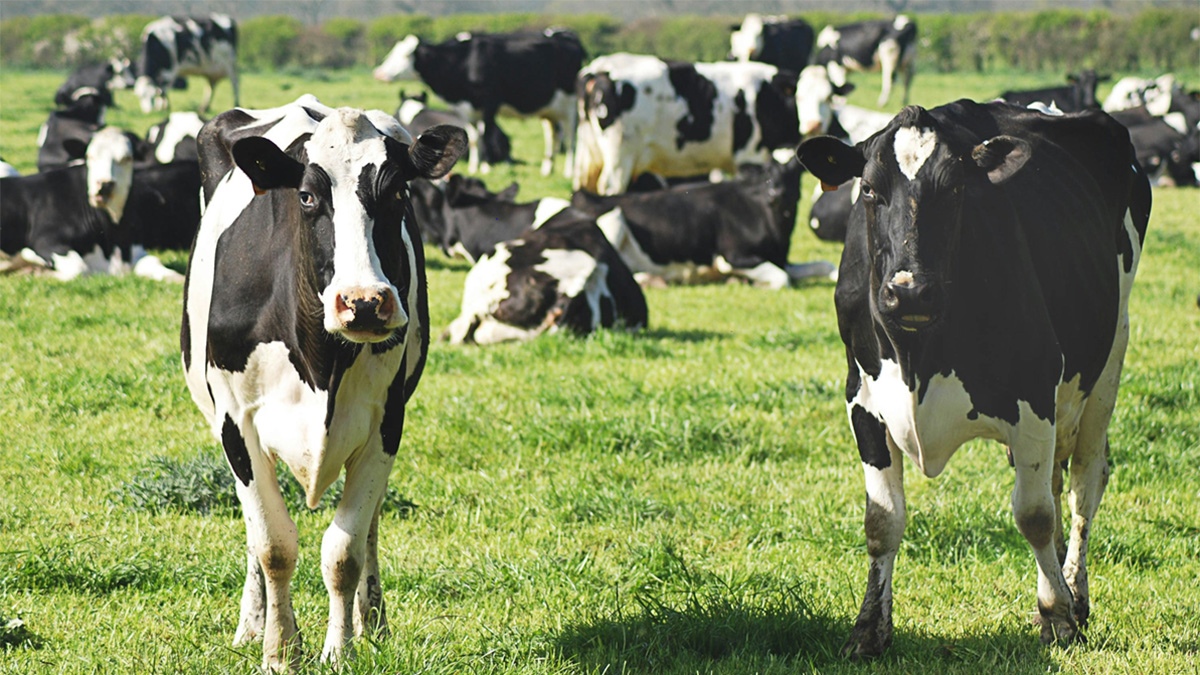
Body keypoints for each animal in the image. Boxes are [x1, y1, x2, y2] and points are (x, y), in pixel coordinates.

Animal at [181, 95, 466, 670]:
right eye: (308, 195)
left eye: (398, 192)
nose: (364, 302)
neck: (321, 363)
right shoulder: (235, 423)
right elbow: (273, 544)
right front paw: (279, 650)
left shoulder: (386, 423)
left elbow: (343, 550)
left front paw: (341, 650)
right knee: (254, 534)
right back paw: (252, 624)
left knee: (371, 522)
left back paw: (372, 620)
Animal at [374, 29, 585, 176]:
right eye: (392, 52)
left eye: (405, 55)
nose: (379, 73)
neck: (464, 60)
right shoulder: (468, 110)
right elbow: (475, 138)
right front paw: (474, 167)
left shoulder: (489, 103)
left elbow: (486, 135)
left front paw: (485, 167)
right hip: (550, 110)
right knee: (553, 136)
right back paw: (547, 169)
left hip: (571, 104)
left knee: (571, 137)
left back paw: (569, 171)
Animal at [570, 157, 835, 288]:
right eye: (765, 175)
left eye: (794, 173)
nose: (776, 194)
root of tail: (586, 195)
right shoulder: (732, 257)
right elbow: (782, 279)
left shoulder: (781, 259)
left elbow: (825, 266)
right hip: (613, 220)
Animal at [796, 100, 1151, 657]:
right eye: (869, 189)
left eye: (956, 187)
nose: (909, 291)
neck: (917, 354)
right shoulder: (863, 401)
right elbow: (882, 520)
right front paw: (869, 628)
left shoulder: (1034, 394)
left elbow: (1034, 515)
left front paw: (1058, 617)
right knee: (1058, 483)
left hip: (1109, 357)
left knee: (1083, 484)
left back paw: (1076, 593)